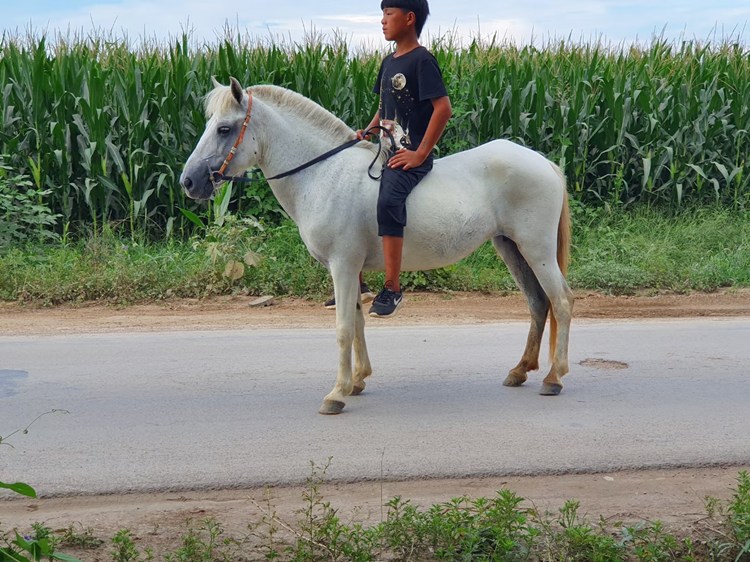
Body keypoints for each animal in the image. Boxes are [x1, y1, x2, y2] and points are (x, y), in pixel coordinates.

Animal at [181, 76, 576, 414]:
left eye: (224, 128)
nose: (188, 182)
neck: (323, 174)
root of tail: (544, 163)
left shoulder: (342, 266)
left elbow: (343, 328)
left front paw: (336, 394)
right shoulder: (350, 269)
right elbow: (356, 323)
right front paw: (356, 381)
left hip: (536, 250)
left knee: (561, 301)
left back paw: (553, 378)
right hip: (510, 247)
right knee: (538, 303)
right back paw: (520, 370)